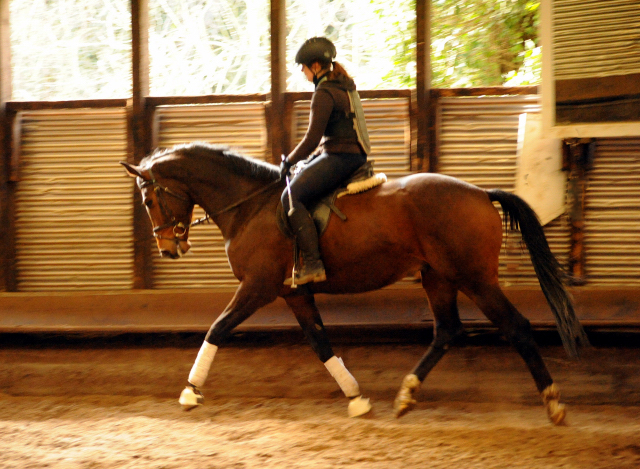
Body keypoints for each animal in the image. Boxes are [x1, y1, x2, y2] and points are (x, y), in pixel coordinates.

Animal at [121, 142, 592, 424]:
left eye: (148, 198)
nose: (169, 248)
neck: (250, 205)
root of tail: (480, 193)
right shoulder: (293, 292)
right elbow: (319, 341)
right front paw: (356, 397)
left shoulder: (259, 285)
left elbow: (218, 328)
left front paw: (190, 391)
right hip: (437, 276)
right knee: (447, 331)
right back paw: (406, 394)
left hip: (474, 278)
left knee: (516, 328)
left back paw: (553, 402)